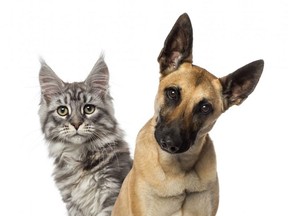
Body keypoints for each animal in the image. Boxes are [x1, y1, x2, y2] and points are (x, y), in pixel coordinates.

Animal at [38, 56, 132, 216]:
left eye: (89, 109)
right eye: (62, 110)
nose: (76, 124)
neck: (79, 158)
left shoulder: (112, 193)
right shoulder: (73, 205)